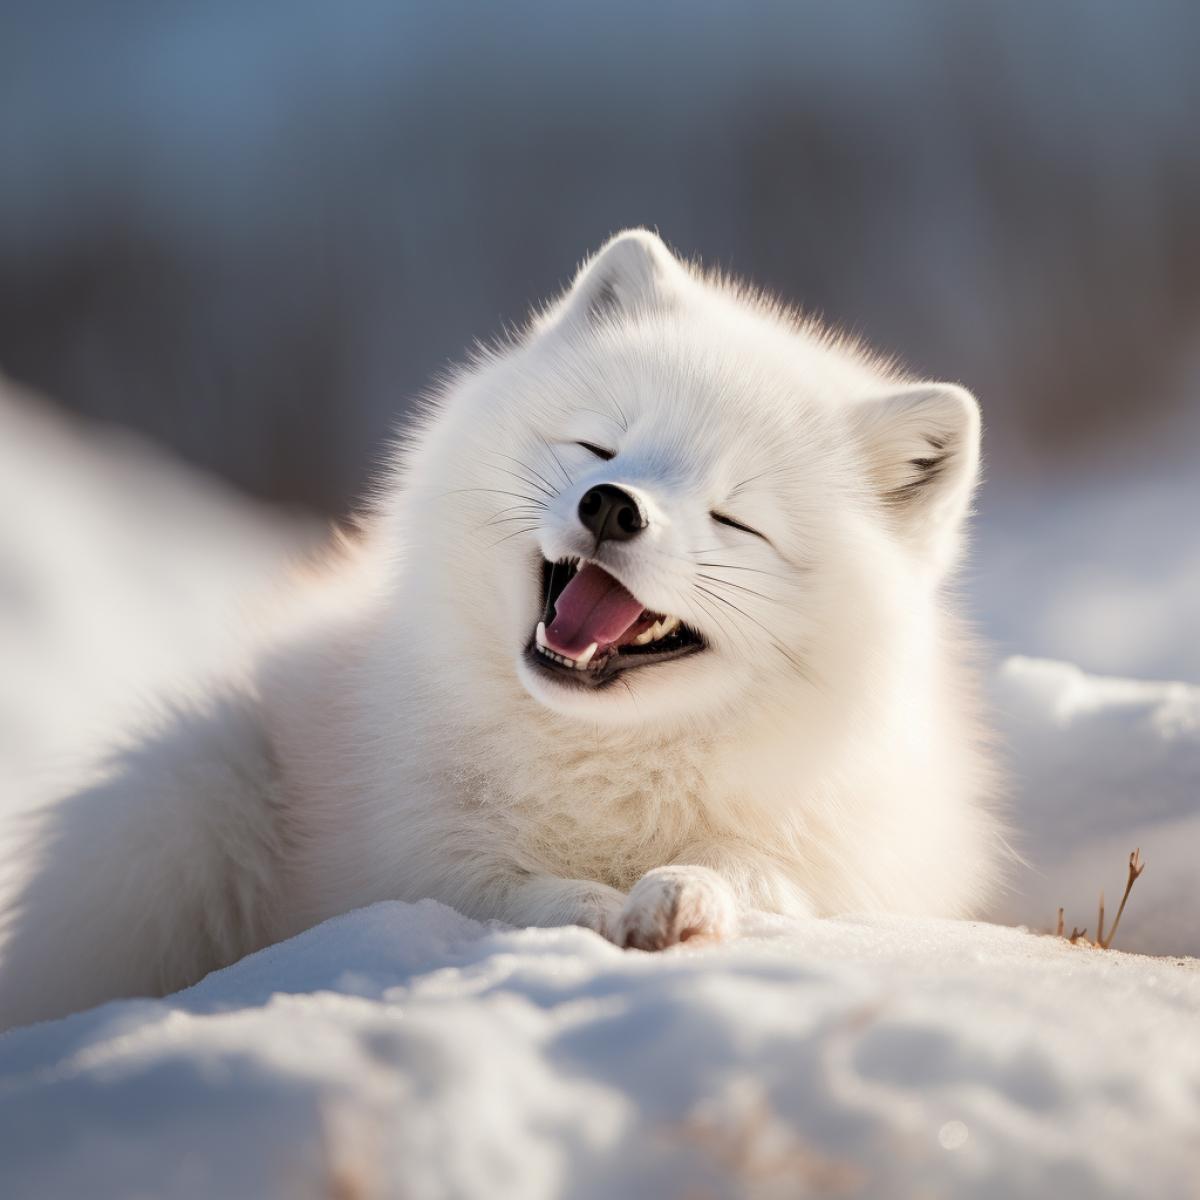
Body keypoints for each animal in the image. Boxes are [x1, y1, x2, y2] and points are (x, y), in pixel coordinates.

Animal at [0, 230, 1002, 1028]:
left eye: (734, 519)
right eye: (600, 448)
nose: (612, 506)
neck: (604, 762)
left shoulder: (854, 861)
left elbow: (751, 871)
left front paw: (683, 895)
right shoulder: (413, 862)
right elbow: (514, 895)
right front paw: (599, 912)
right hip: (188, 800)